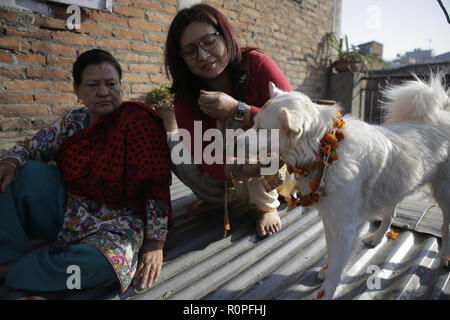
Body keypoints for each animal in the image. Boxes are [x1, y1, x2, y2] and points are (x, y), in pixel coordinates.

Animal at [243, 75, 450, 300]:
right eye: (253, 123)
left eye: (263, 131)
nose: (234, 140)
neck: (324, 150)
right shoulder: (330, 218)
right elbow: (331, 251)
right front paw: (325, 271)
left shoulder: (345, 228)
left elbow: (336, 266)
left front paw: (327, 289)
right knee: (390, 215)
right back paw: (377, 238)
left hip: (444, 194)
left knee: (444, 226)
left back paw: (445, 257)